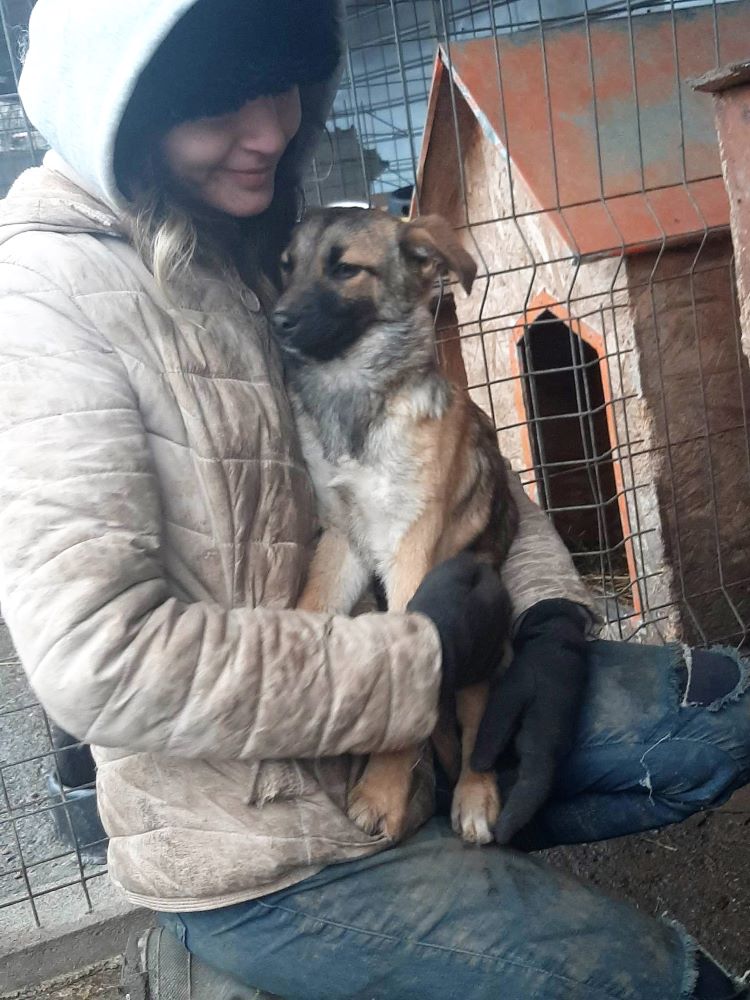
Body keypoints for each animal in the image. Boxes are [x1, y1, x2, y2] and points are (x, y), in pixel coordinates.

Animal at [274, 209, 520, 844]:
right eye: (287, 265)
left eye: (344, 269)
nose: (277, 320)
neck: (358, 399)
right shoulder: (344, 539)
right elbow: (315, 608)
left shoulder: (411, 550)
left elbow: (413, 673)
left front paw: (381, 793)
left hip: (487, 646)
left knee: (477, 727)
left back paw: (474, 797)